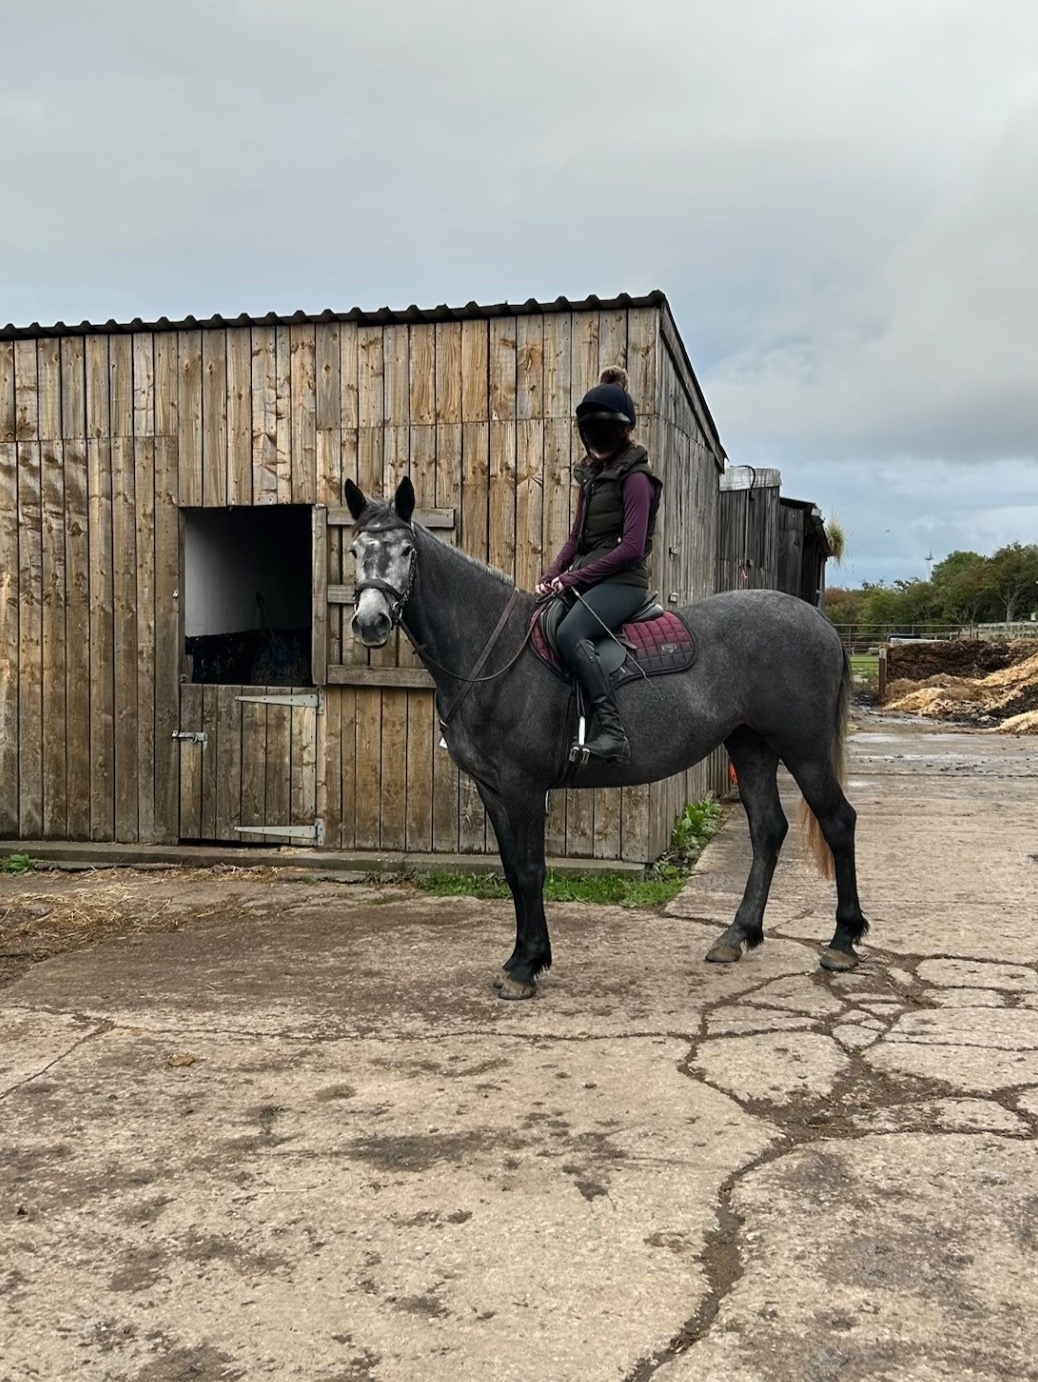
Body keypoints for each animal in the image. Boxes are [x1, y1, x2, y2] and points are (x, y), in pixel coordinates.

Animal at [345, 476, 868, 1000]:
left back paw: (843, 941)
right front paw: (522, 957)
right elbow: (513, 870)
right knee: (767, 830)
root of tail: (821, 624)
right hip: (750, 744)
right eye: (354, 549)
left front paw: (525, 966)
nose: (370, 623)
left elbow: (531, 870)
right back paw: (736, 935)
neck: (493, 653)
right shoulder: (491, 788)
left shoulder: (523, 786)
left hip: (803, 748)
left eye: (407, 551)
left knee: (837, 821)